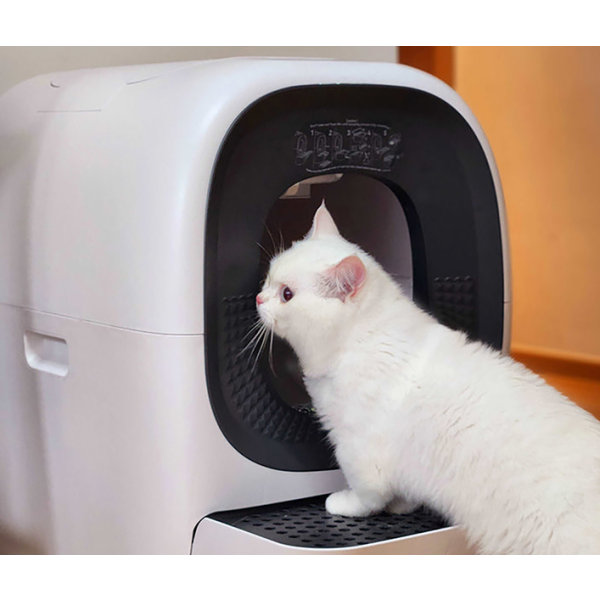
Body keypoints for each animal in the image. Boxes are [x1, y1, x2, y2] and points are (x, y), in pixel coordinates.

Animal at [256, 202, 600, 555]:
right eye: (268, 277)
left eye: (286, 294)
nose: (258, 298)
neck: (362, 339)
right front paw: (403, 506)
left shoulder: (357, 451)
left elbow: (367, 497)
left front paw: (344, 504)